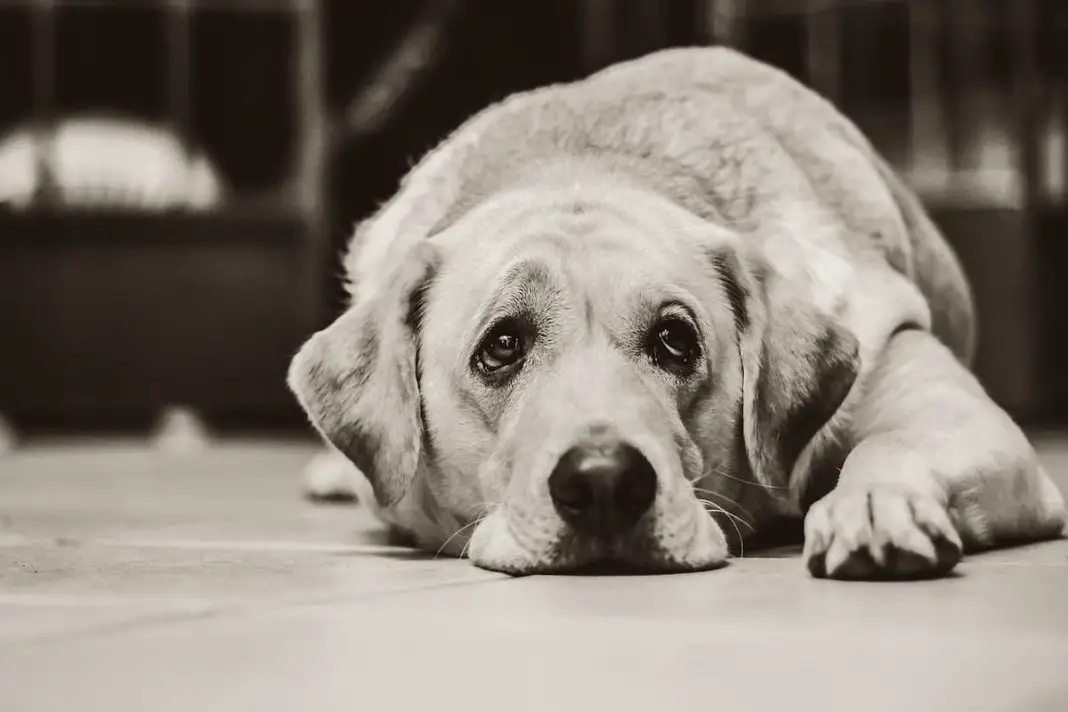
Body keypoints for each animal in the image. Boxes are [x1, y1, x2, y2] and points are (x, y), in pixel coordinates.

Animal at [288, 45, 1063, 580]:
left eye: (674, 340)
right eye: (501, 346)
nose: (603, 482)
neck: (586, 159)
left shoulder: (956, 410)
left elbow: (891, 444)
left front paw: (874, 503)